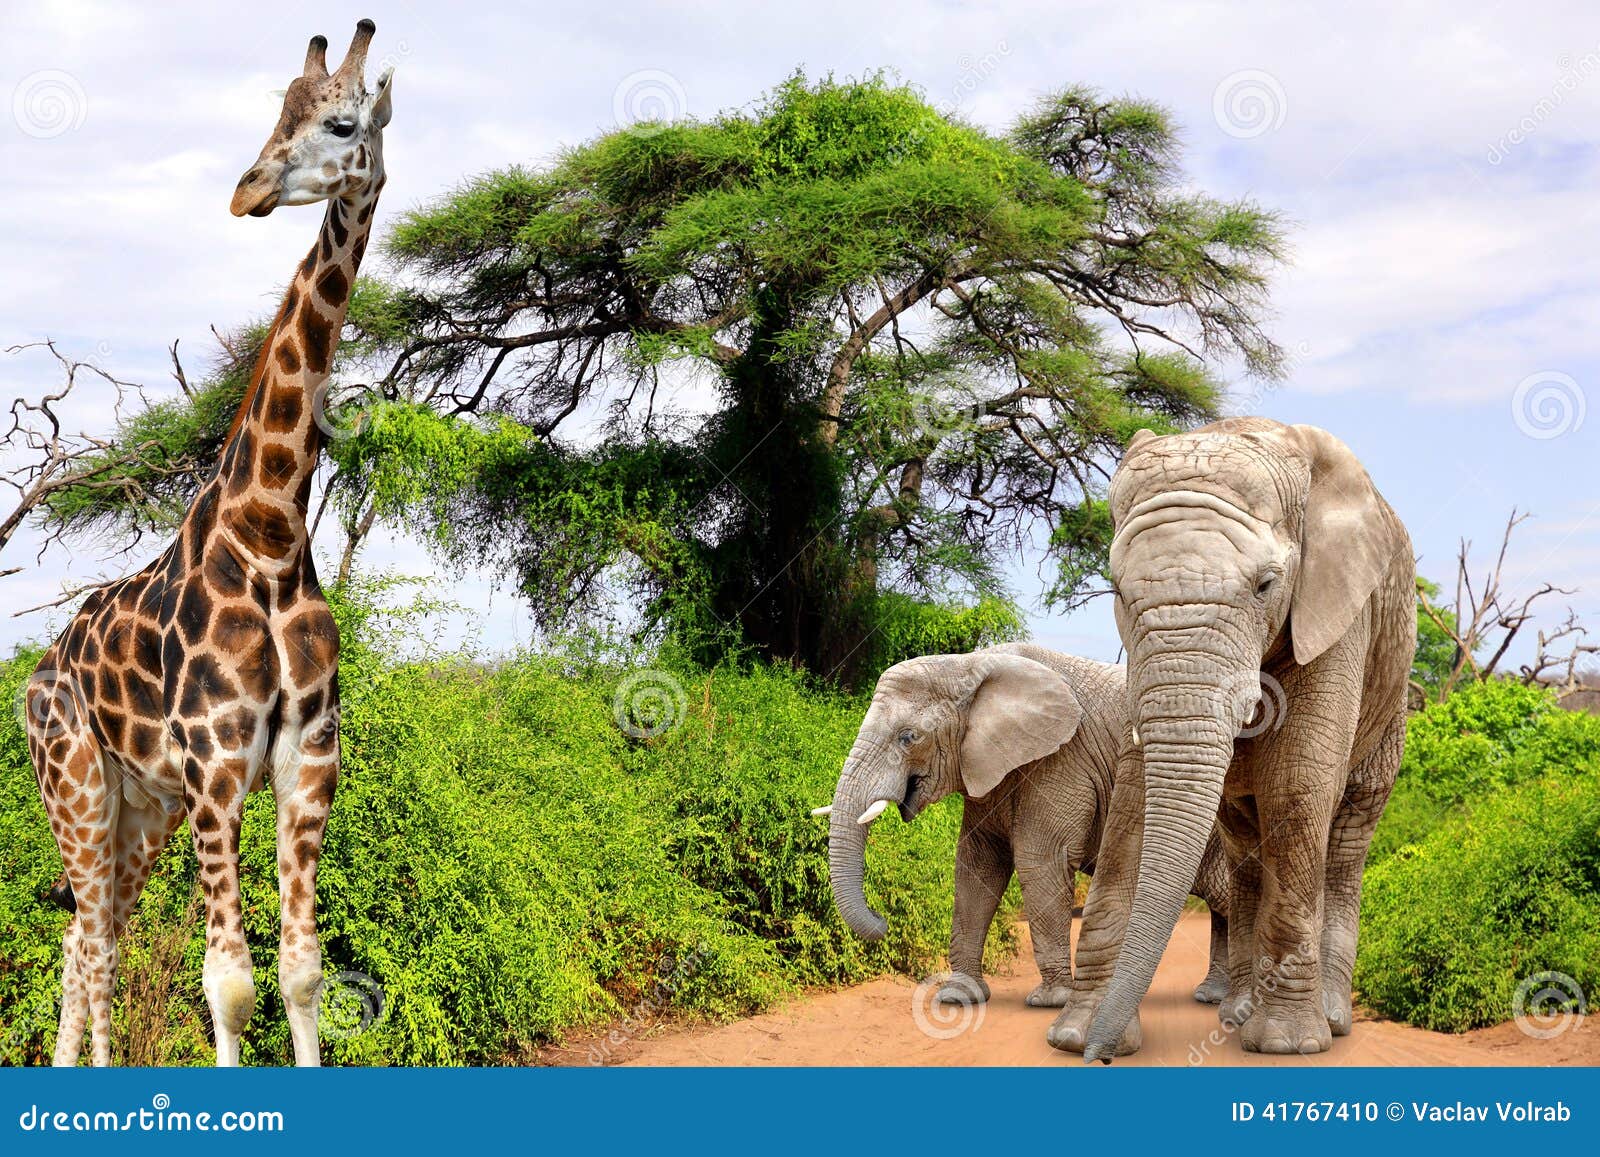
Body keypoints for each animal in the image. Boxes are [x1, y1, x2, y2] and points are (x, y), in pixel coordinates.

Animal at [22, 20, 393, 1067]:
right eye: (277, 111)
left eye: (340, 122)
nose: (247, 189)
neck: (267, 527)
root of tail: (40, 666)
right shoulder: (217, 763)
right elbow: (228, 984)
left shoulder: (307, 759)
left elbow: (300, 971)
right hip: (76, 786)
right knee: (92, 939)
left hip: (141, 808)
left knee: (88, 935)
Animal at [818, 642, 1230, 1011]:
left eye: (909, 737)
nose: (883, 921)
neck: (972, 664)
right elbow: (976, 866)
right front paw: (958, 996)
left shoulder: (1065, 759)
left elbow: (1040, 861)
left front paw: (1051, 1001)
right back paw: (1213, 997)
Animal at [1048, 418, 1414, 1060]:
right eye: (1115, 590)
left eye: (1266, 585)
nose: (1101, 1056)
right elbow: (1135, 800)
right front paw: (1076, 1036)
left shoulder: (1336, 610)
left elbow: (1297, 784)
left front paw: (1288, 1044)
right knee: (1244, 845)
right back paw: (1238, 1011)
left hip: (1393, 689)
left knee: (1349, 833)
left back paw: (1331, 1018)